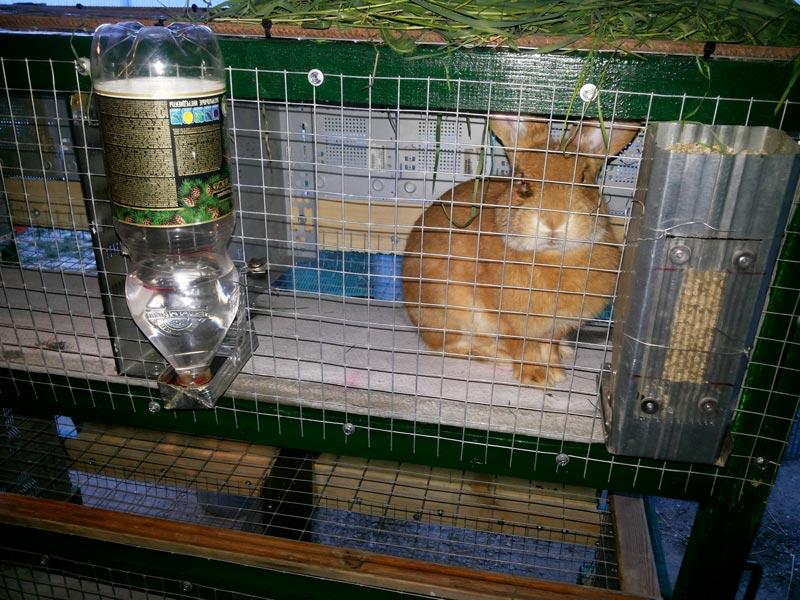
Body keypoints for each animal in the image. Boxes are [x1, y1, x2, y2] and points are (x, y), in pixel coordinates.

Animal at [402, 117, 639, 386]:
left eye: (584, 179)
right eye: (523, 183)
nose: (554, 221)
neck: (553, 258)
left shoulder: (556, 326)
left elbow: (550, 345)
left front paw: (556, 372)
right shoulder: (509, 322)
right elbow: (523, 347)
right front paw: (537, 377)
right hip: (449, 311)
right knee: (449, 345)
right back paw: (499, 357)